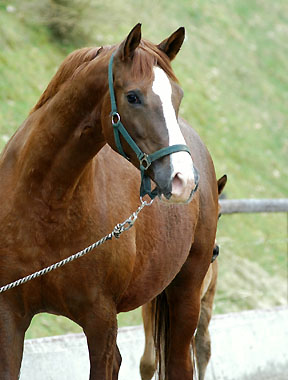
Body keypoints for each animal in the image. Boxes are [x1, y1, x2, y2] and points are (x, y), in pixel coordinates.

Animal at [0, 24, 217, 380]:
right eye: (133, 97)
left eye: (178, 97)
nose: (182, 179)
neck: (47, 202)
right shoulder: (10, 315)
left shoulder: (100, 322)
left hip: (186, 298)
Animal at [140, 175, 227, 380]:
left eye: (220, 214)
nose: (214, 251)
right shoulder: (149, 306)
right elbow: (149, 362)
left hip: (206, 304)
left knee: (203, 347)